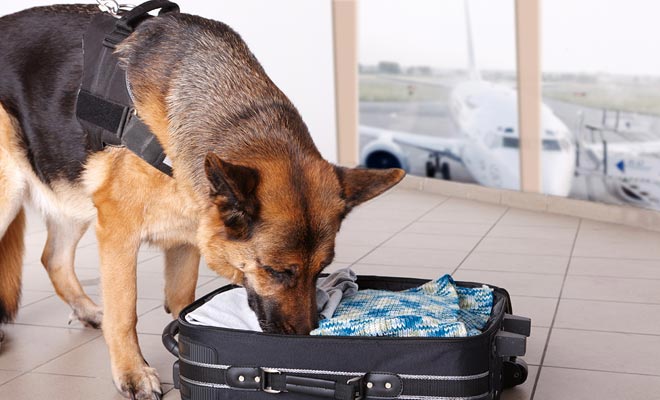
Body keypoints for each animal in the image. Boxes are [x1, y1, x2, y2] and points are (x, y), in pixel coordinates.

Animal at [0, 3, 404, 400]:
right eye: (275, 271)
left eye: (321, 269)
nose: (305, 337)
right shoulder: (118, 232)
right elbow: (124, 311)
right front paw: (132, 372)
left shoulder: (188, 233)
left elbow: (183, 298)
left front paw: (188, 338)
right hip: (11, 195)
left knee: (52, 258)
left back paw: (87, 311)